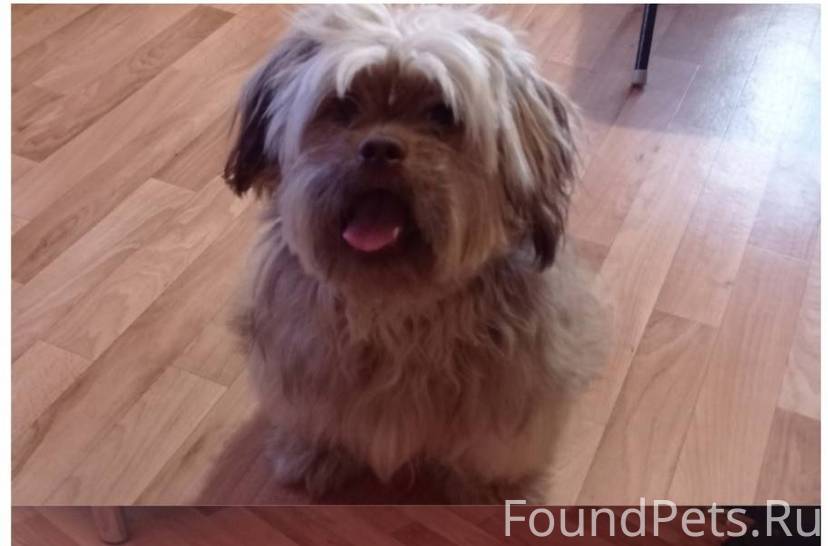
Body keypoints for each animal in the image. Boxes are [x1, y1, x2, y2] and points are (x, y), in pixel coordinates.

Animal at [224, 5, 611, 503]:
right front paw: (317, 452)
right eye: (344, 106)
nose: (380, 148)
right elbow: (314, 416)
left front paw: (493, 489)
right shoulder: (304, 369)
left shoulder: (513, 401)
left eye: (443, 114)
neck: (396, 309)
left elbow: (497, 450)